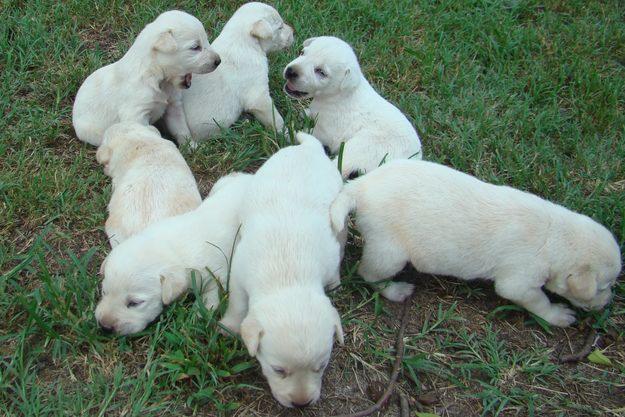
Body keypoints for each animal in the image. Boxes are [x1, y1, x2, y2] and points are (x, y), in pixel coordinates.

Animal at [72, 10, 222, 146]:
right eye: (195, 47)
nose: (218, 61)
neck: (157, 77)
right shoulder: (136, 113)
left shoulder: (173, 106)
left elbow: (181, 129)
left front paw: (191, 147)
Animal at [95, 171, 251, 334]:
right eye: (104, 292)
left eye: (135, 303)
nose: (105, 327)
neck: (170, 249)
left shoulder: (217, 272)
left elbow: (213, 294)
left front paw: (198, 314)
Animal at [183, 2, 294, 143]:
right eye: (280, 27)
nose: (293, 31)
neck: (244, 43)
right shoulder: (259, 98)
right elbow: (276, 120)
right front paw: (288, 135)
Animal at [284, 36, 422, 177]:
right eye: (302, 53)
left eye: (321, 72)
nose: (290, 71)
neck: (338, 94)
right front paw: (304, 113)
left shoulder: (326, 132)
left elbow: (310, 132)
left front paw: (289, 131)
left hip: (360, 149)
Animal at [330, 159, 620, 324]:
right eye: (603, 287)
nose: (607, 303)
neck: (554, 233)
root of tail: (361, 185)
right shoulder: (519, 282)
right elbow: (538, 301)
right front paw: (558, 316)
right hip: (389, 251)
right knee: (369, 273)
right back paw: (395, 290)